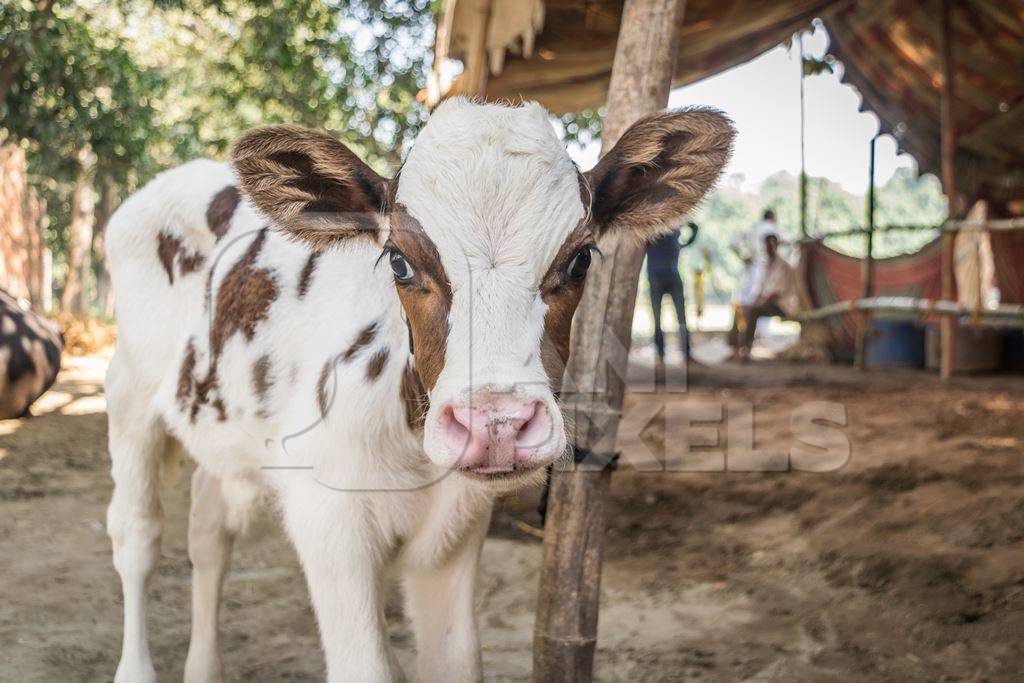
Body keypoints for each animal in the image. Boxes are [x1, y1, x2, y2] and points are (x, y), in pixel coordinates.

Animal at [103, 97, 733, 683]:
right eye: (399, 261)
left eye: (581, 259)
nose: (496, 423)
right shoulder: (326, 520)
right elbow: (366, 668)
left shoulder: (455, 535)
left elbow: (456, 660)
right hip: (128, 394)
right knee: (137, 535)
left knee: (207, 531)